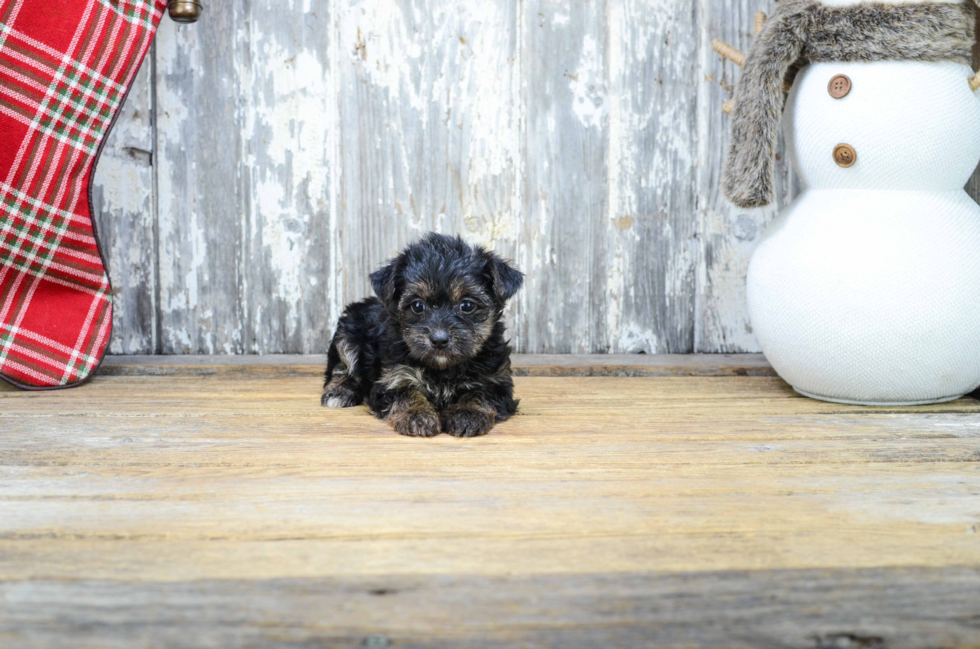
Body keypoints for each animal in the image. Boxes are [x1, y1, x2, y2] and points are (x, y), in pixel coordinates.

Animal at [320, 230, 520, 438]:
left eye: (467, 305)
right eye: (417, 306)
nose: (439, 339)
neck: (443, 368)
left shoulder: (496, 380)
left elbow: (480, 393)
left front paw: (467, 413)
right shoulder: (393, 376)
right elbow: (405, 393)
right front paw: (417, 415)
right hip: (347, 331)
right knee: (342, 367)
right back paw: (340, 391)